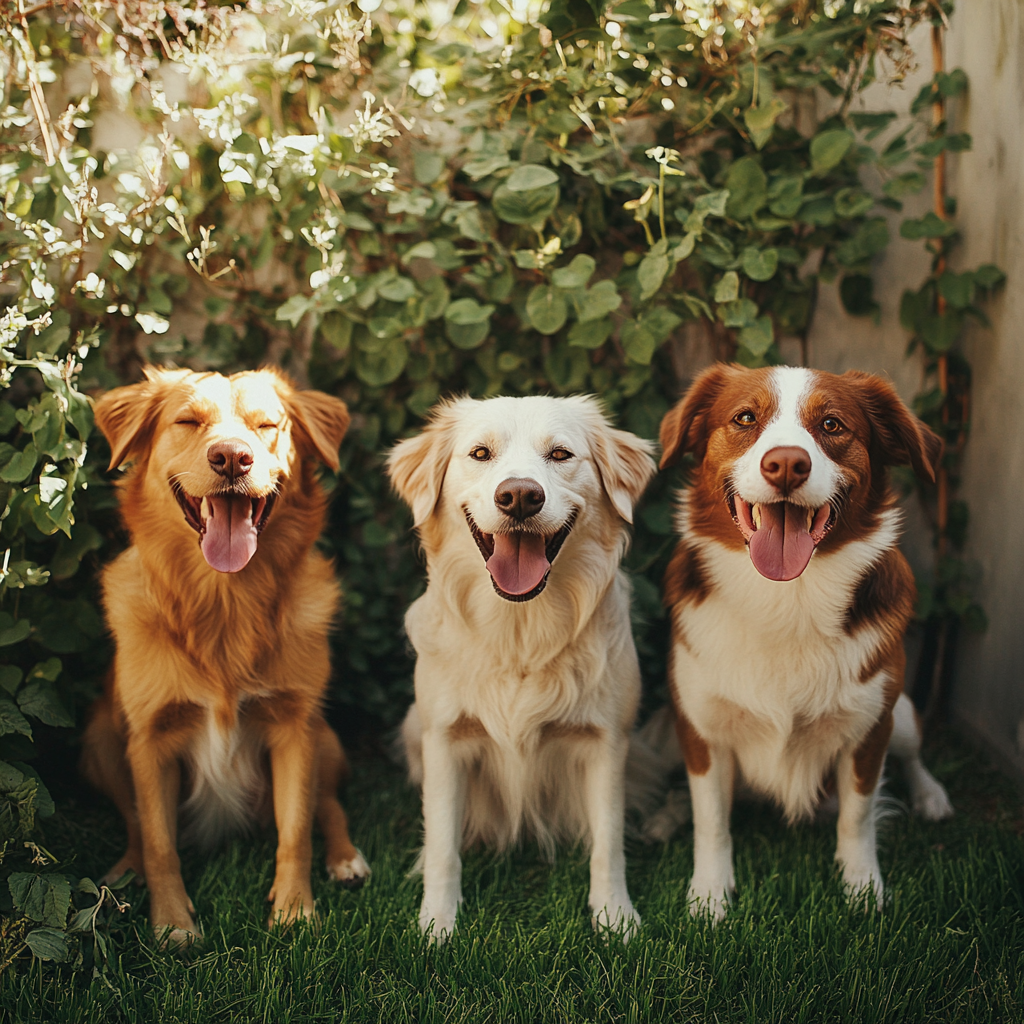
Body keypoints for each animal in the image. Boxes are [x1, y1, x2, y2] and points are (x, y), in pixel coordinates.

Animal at [80, 366, 368, 942]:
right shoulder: (149, 740)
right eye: (188, 421)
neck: (225, 602)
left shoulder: (295, 728)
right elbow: (159, 841)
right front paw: (173, 925)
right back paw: (124, 871)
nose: (233, 458)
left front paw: (295, 912)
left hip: (324, 736)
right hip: (100, 738)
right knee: (132, 823)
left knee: (327, 804)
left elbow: (296, 829)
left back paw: (346, 858)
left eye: (267, 426)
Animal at [385, 395, 655, 937]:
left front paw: (615, 916)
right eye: (480, 453)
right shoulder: (444, 739)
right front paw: (437, 923)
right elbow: (443, 842)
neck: (520, 630)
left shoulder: (607, 742)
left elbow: (608, 841)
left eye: (560, 454)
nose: (520, 497)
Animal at [655, 364, 950, 917]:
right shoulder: (701, 725)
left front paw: (863, 888)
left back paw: (931, 796)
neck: (786, 600)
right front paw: (709, 895)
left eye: (832, 424)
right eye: (744, 418)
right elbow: (712, 819)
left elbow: (857, 816)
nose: (787, 465)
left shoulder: (870, 728)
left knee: (914, 754)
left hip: (899, 713)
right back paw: (665, 815)